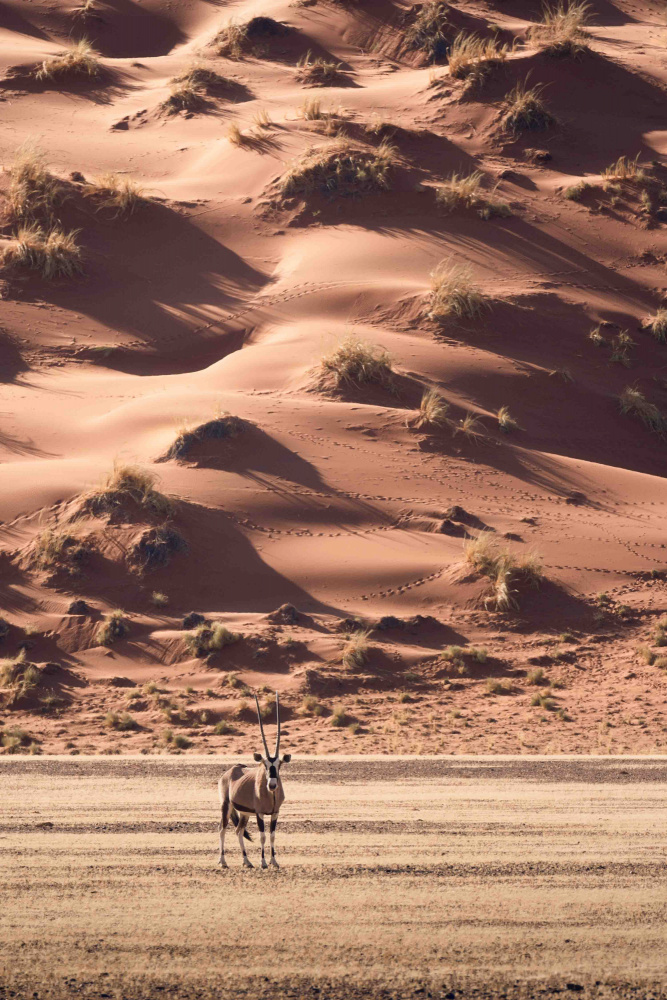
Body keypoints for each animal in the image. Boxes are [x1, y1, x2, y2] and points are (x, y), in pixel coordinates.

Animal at [218, 696, 290, 868]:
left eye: (279, 764)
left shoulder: (275, 813)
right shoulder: (260, 813)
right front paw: (263, 862)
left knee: (238, 831)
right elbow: (262, 836)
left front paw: (274, 862)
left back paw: (247, 861)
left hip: (244, 813)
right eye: (265, 764)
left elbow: (272, 836)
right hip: (226, 806)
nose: (272, 785)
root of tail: (230, 772)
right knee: (222, 830)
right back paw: (223, 861)